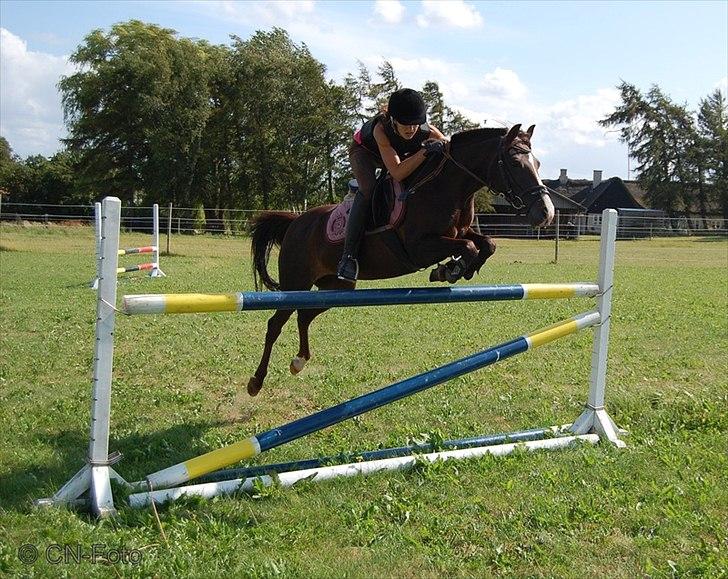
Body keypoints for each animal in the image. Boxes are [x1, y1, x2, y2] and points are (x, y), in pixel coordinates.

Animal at [246, 124, 554, 396]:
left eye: (538, 163)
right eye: (515, 163)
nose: (546, 213)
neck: (445, 188)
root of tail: (296, 222)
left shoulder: (459, 232)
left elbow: (487, 244)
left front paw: (457, 269)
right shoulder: (418, 247)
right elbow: (467, 247)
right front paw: (450, 270)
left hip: (336, 287)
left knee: (304, 315)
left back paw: (298, 361)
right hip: (296, 281)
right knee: (276, 323)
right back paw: (256, 382)